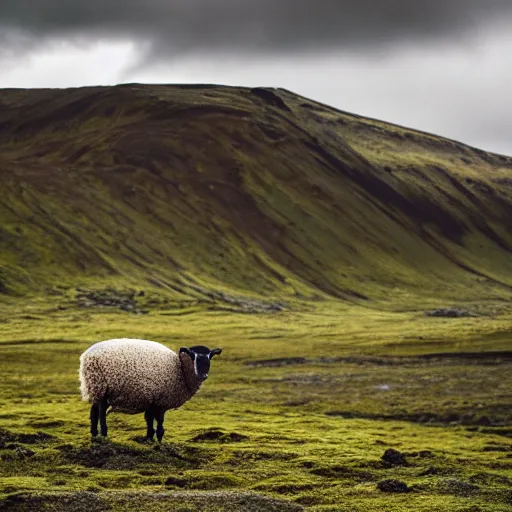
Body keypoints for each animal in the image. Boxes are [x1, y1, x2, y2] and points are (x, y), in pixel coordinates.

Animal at [79, 338, 221, 442]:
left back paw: (94, 434)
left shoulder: (152, 400)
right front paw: (158, 439)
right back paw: (104, 433)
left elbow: (149, 419)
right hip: (103, 386)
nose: (203, 375)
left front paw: (149, 437)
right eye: (192, 356)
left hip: (96, 387)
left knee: (94, 411)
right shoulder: (161, 401)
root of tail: (88, 357)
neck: (181, 371)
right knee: (102, 411)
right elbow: (159, 421)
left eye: (210, 356)